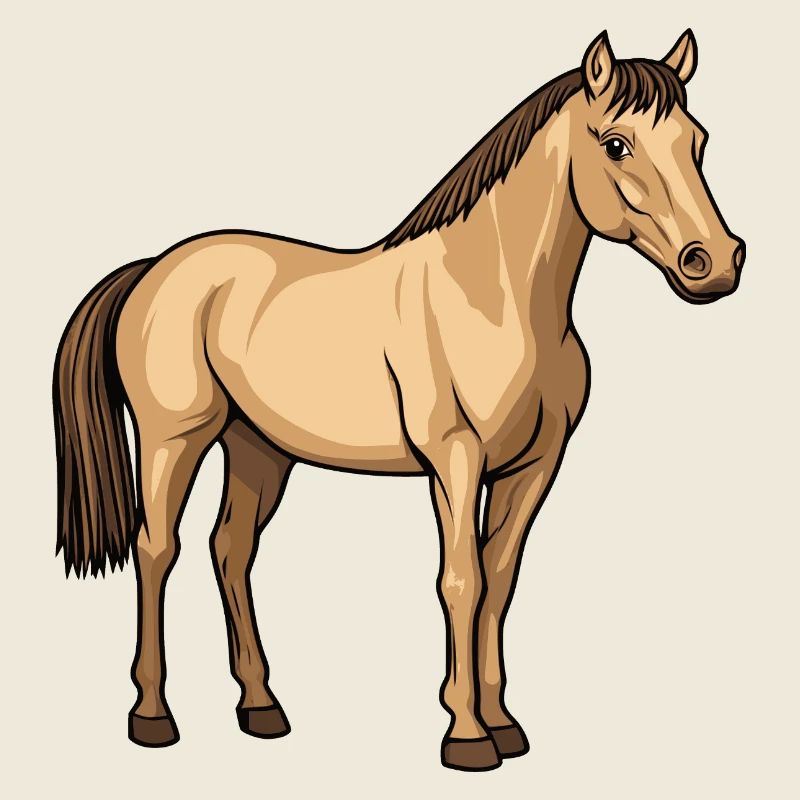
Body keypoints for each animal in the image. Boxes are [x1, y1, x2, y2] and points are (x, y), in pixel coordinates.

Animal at [53, 30, 744, 771]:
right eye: (616, 144)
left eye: (698, 141)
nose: (714, 262)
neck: (499, 299)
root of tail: (154, 268)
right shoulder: (455, 459)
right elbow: (461, 581)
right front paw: (466, 735)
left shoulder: (535, 466)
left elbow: (500, 579)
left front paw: (504, 724)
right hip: (173, 439)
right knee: (157, 550)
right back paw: (152, 716)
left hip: (258, 449)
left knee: (230, 549)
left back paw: (261, 708)